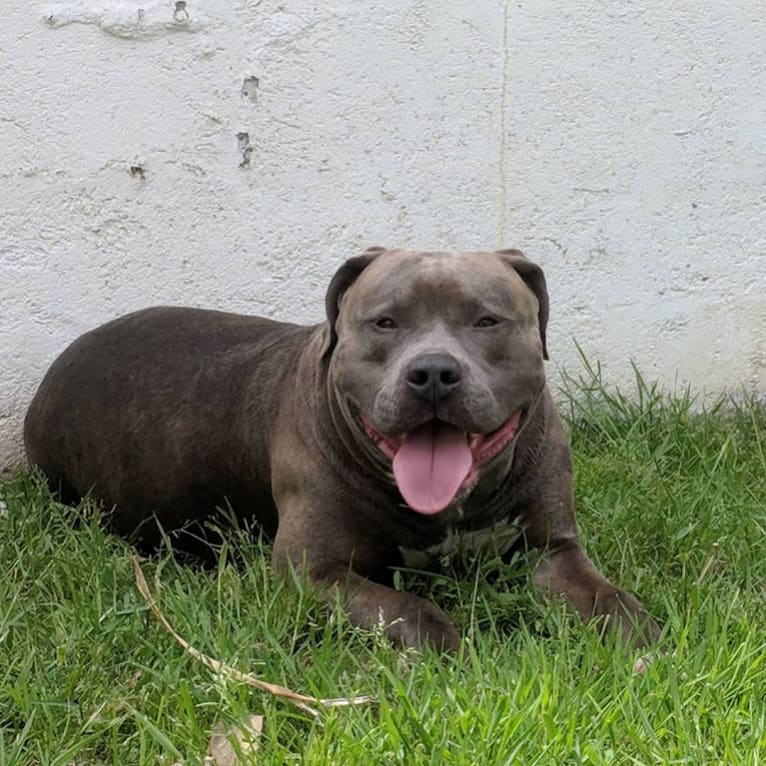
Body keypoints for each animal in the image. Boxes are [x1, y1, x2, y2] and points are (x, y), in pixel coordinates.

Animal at [24, 249, 660, 652]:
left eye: (486, 320)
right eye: (384, 322)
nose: (433, 372)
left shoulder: (550, 550)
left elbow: (607, 599)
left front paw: (643, 638)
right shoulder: (312, 571)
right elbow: (410, 609)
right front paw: (451, 644)